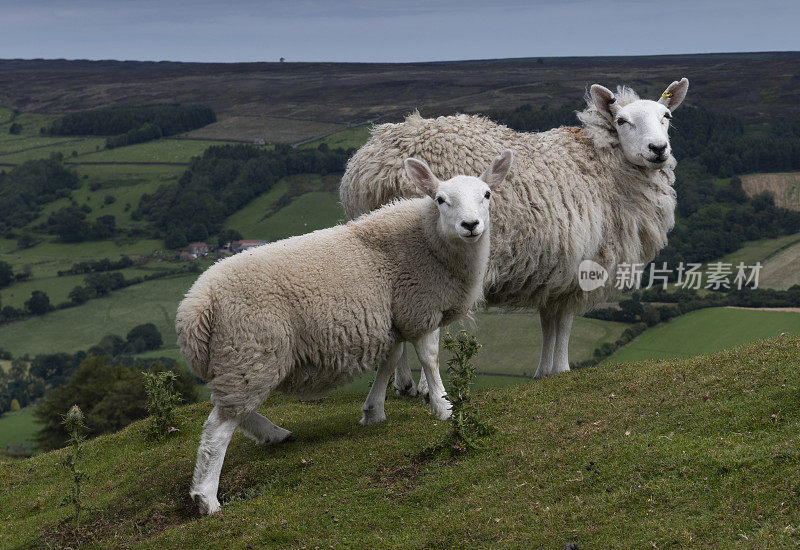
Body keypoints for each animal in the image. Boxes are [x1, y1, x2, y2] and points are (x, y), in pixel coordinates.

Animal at [175, 150, 512, 516]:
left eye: (487, 195)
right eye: (440, 199)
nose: (470, 225)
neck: (429, 240)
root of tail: (196, 307)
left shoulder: (392, 319)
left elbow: (390, 360)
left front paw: (374, 411)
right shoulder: (419, 308)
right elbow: (430, 358)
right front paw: (442, 406)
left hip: (238, 359)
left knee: (235, 409)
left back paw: (274, 434)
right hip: (250, 348)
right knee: (218, 429)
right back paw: (207, 497)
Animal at [338, 78, 688, 388]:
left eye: (667, 116)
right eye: (622, 120)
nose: (658, 148)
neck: (602, 163)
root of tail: (379, 165)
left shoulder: (554, 272)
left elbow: (549, 323)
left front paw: (544, 372)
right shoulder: (579, 268)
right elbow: (564, 324)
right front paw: (563, 369)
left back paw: (404, 384)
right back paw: (426, 388)